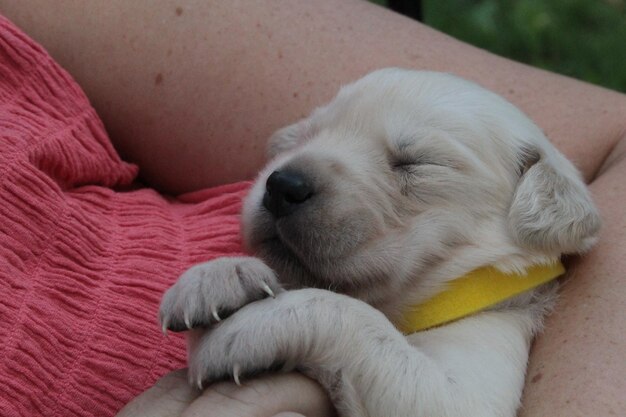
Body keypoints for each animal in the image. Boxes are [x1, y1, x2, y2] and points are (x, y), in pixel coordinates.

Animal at [158, 69, 596, 416]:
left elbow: (347, 312)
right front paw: (215, 279)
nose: (282, 186)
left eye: (416, 163)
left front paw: (240, 329)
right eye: (308, 134)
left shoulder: (471, 384)